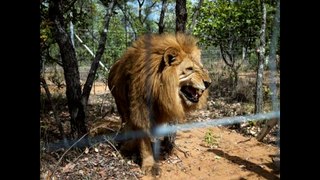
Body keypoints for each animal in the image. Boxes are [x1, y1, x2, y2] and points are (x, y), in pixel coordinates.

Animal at [108, 32, 212, 176]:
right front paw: (148, 165)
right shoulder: (141, 110)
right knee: (125, 122)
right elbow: (143, 139)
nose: (208, 83)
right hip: (120, 103)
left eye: (201, 68)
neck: (160, 90)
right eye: (189, 69)